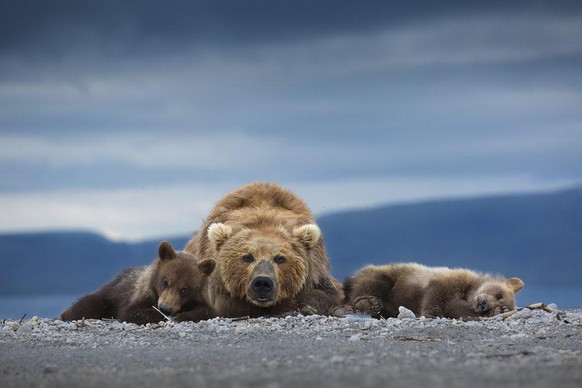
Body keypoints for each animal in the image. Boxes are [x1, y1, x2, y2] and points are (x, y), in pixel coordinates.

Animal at [60, 241, 218, 322]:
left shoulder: (203, 299)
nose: (165, 308)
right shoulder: (139, 295)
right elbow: (132, 312)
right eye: (165, 282)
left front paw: (181, 315)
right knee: (87, 305)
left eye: (185, 289)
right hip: (109, 294)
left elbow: (208, 311)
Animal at [186, 182, 342, 318]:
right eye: (247, 257)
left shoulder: (317, 270)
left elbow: (327, 295)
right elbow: (229, 304)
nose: (262, 282)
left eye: (280, 258)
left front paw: (308, 305)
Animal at [330, 262, 528, 320]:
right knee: (373, 283)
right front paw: (429, 314)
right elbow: (435, 296)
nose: (484, 304)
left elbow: (456, 309)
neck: (469, 292)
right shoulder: (448, 281)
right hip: (390, 275)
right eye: (498, 294)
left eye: (500, 302)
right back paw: (364, 303)